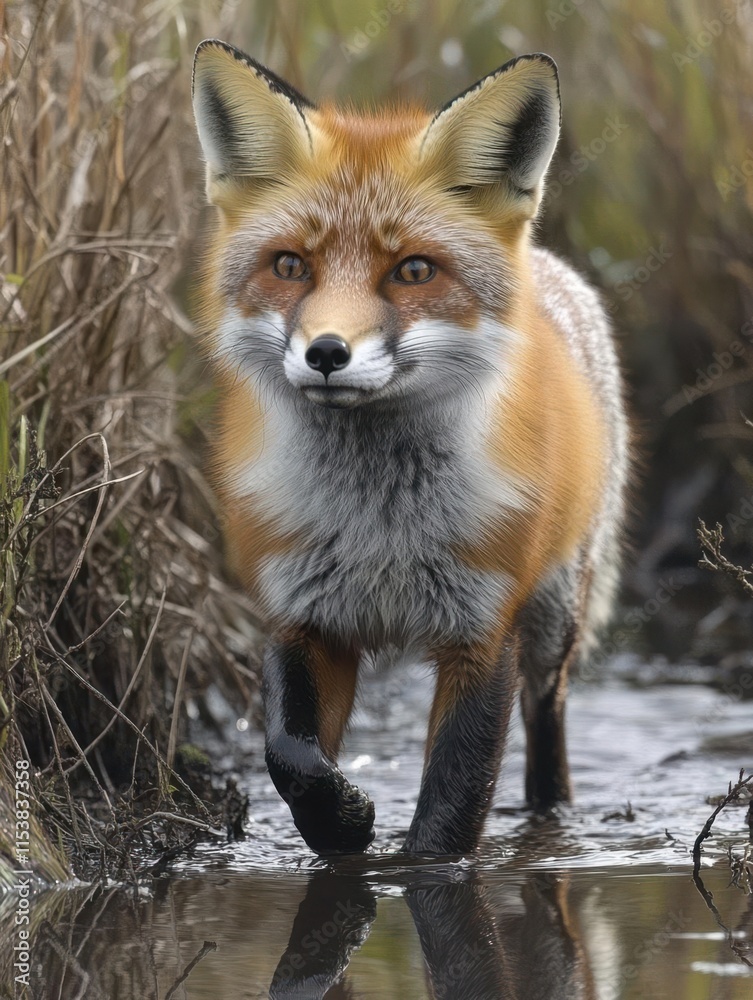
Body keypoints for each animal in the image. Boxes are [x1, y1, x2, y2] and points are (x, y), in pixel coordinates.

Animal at [191, 39, 629, 856]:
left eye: (413, 271)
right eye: (290, 265)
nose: (326, 353)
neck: (380, 531)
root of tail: (551, 268)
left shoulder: (482, 628)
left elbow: (454, 798)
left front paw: (413, 866)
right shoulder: (301, 614)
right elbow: (288, 755)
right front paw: (344, 824)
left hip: (554, 618)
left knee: (546, 719)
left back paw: (550, 815)